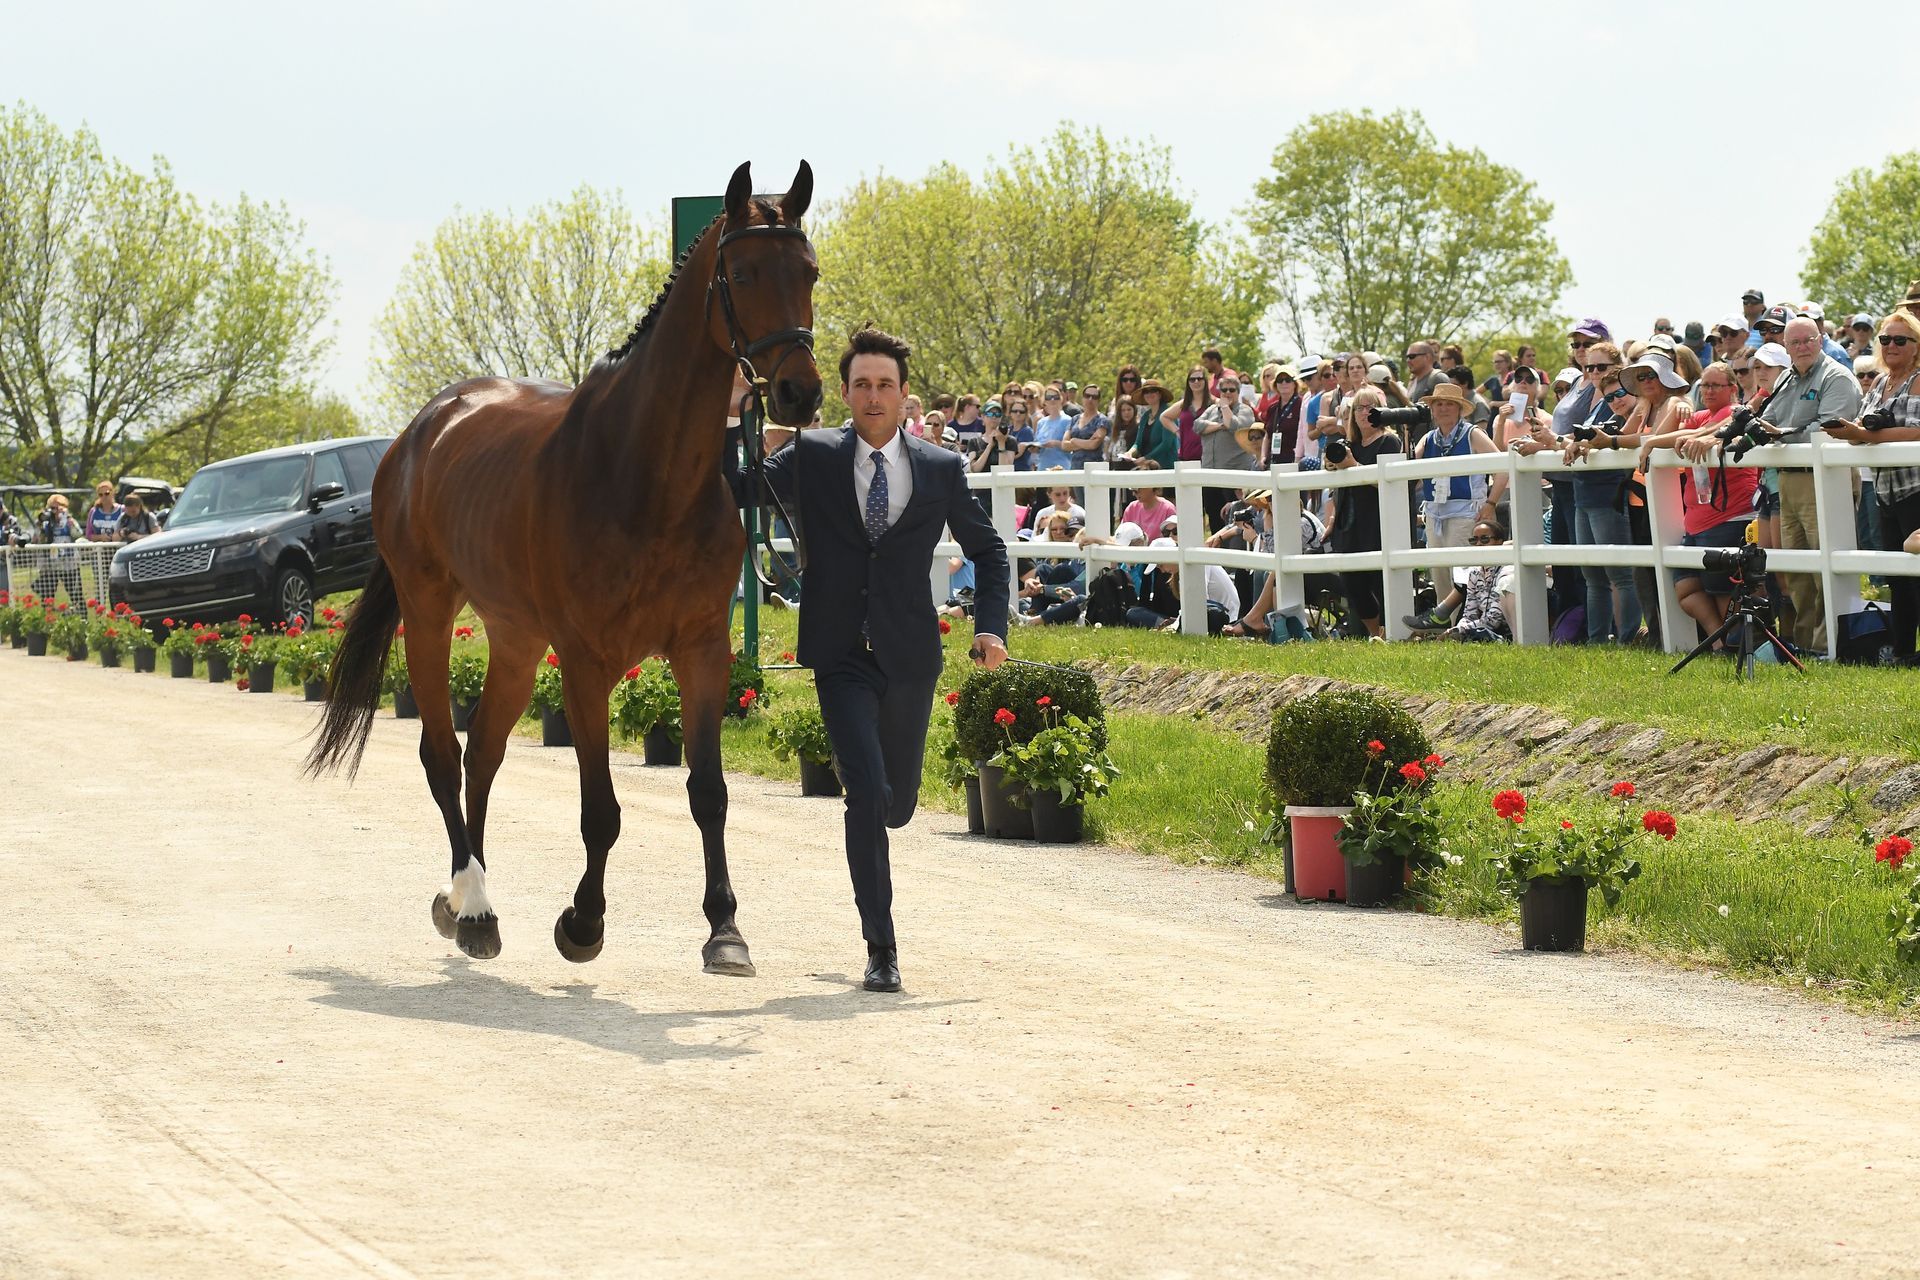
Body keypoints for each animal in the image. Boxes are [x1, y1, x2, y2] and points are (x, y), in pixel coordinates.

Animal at [305, 161, 822, 975]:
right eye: (741, 272)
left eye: (809, 271)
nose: (802, 392)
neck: (646, 477)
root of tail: (426, 427)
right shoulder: (585, 662)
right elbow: (600, 810)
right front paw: (583, 921)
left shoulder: (702, 650)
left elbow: (708, 792)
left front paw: (725, 930)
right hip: (430, 612)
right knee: (443, 754)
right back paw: (473, 905)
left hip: (516, 639)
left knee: (483, 752)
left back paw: (466, 901)